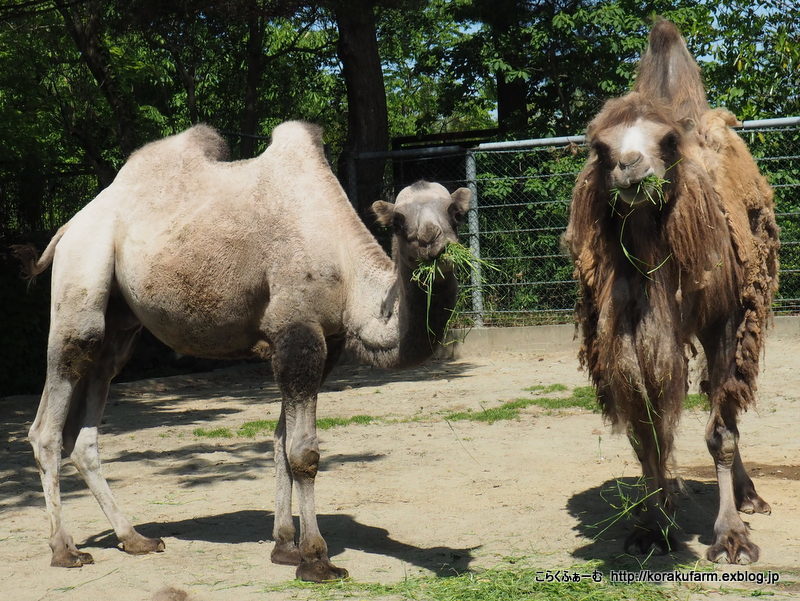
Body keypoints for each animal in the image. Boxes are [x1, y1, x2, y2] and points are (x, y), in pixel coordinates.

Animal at [14, 119, 468, 580]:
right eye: (399, 220)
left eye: (454, 212)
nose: (431, 240)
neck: (346, 270)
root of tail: (69, 227)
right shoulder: (297, 333)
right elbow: (303, 452)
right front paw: (316, 559)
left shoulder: (325, 344)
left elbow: (280, 441)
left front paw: (285, 547)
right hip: (81, 274)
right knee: (49, 419)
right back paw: (65, 549)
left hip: (120, 323)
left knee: (89, 417)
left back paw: (135, 539)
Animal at [564, 19, 780, 564]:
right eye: (600, 148)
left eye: (666, 141)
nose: (630, 166)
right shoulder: (620, 330)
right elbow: (648, 433)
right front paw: (653, 527)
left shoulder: (726, 316)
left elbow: (721, 432)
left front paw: (731, 538)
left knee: (728, 400)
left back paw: (750, 497)